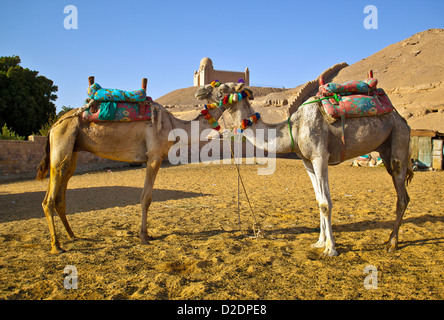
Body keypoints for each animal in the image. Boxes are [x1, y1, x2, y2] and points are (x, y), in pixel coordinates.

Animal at [36, 84, 224, 254]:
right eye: (222, 89)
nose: (201, 91)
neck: (173, 125)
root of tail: (54, 125)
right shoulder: (154, 156)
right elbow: (146, 198)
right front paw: (144, 236)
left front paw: (147, 234)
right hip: (62, 143)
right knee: (49, 199)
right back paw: (56, 246)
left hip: (72, 150)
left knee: (61, 190)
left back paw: (72, 235)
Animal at [198, 81, 412, 256]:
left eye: (223, 89)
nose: (200, 91)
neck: (294, 127)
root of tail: (402, 119)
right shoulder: (307, 162)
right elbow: (318, 200)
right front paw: (319, 242)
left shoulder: (319, 157)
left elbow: (325, 203)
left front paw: (330, 249)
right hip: (386, 149)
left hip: (398, 139)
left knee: (402, 197)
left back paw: (392, 243)